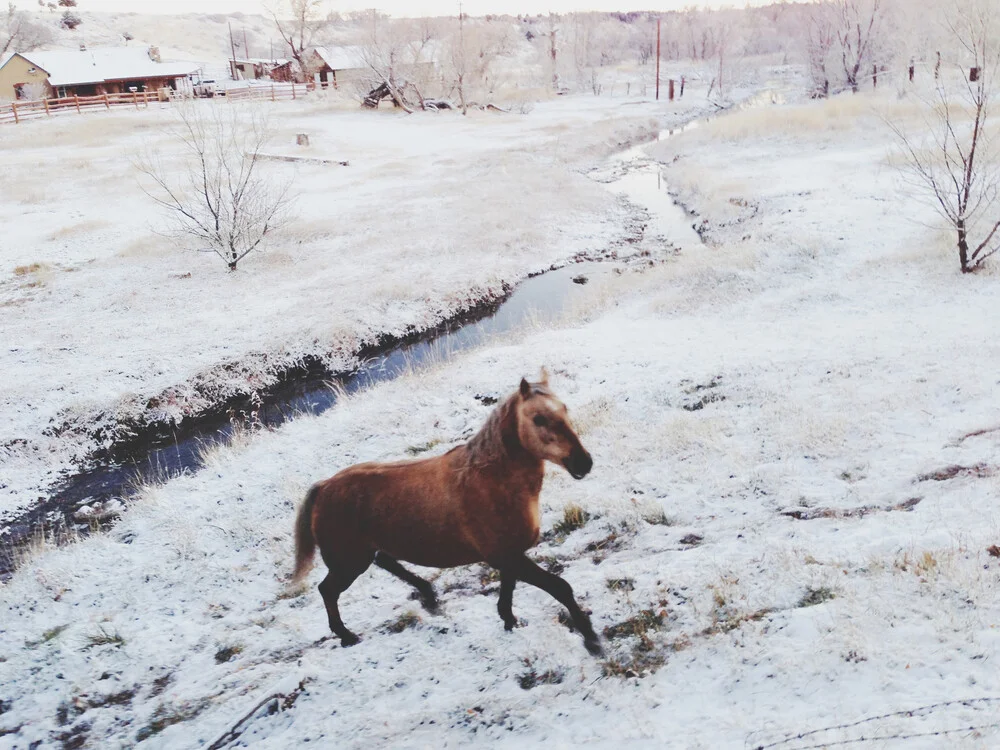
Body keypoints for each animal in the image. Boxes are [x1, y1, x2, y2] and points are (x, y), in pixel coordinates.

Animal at [292, 374, 600, 656]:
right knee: (328, 590)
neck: (491, 481)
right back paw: (347, 636)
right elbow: (560, 587)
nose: (583, 462)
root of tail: (324, 488)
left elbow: (508, 589)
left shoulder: (508, 555)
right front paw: (591, 639)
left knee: (385, 561)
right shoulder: (505, 554)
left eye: (564, 409)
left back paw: (428, 594)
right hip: (349, 562)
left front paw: (509, 620)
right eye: (538, 419)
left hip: (366, 552)